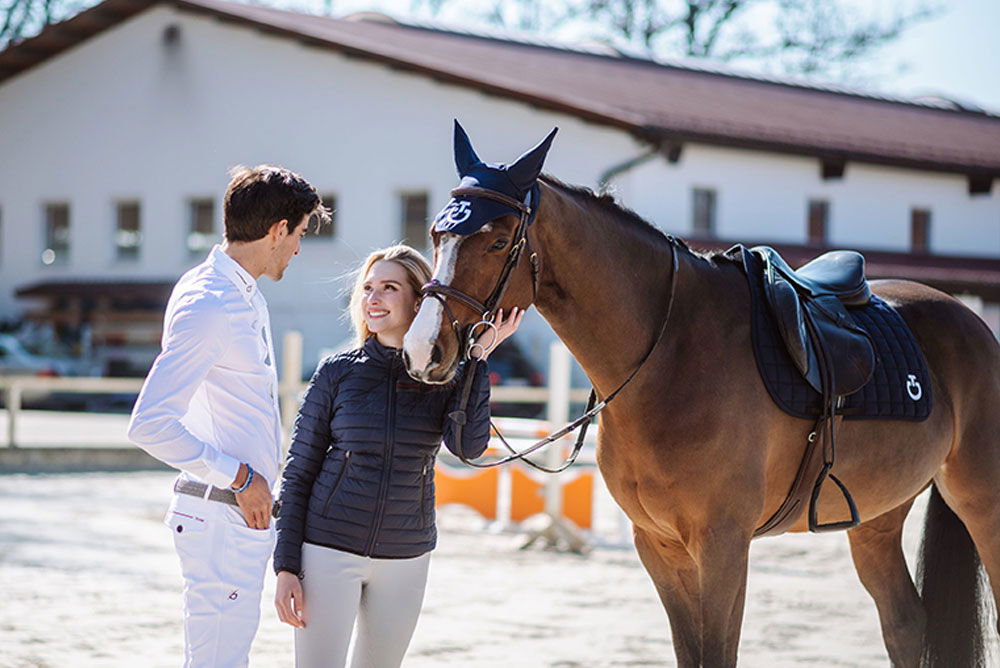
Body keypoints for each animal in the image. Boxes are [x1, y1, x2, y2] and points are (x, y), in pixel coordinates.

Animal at [402, 124, 996, 664]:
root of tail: (973, 323)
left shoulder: (723, 545)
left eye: (499, 240)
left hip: (981, 507)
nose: (422, 347)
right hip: (877, 519)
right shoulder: (658, 545)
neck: (672, 352)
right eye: (435, 234)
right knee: (905, 624)